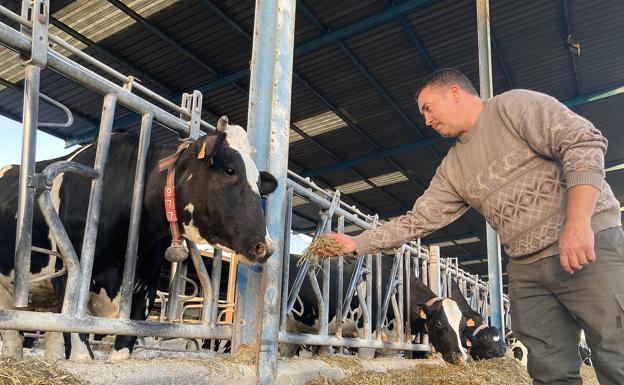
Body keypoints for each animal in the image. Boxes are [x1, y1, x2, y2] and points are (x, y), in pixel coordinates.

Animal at [0, 116, 276, 360]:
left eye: (260, 185)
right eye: (230, 170)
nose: (266, 247)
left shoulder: (146, 288)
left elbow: (122, 349)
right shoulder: (69, 275)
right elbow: (79, 348)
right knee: (14, 335)